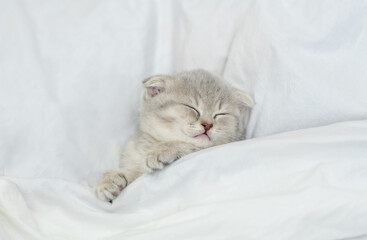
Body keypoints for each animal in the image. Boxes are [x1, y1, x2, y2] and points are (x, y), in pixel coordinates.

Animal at [95, 70, 254, 202]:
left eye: (220, 114)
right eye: (191, 107)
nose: (207, 125)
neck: (151, 144)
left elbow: (184, 145)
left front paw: (161, 150)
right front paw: (108, 181)